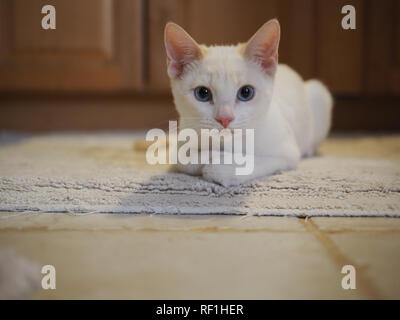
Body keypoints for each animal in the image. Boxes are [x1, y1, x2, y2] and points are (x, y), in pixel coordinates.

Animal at [164, 18, 332, 186]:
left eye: (246, 92)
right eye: (202, 93)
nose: (225, 118)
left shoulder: (287, 153)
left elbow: (237, 165)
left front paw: (220, 162)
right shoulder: (182, 141)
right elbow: (183, 159)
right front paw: (209, 155)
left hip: (319, 93)